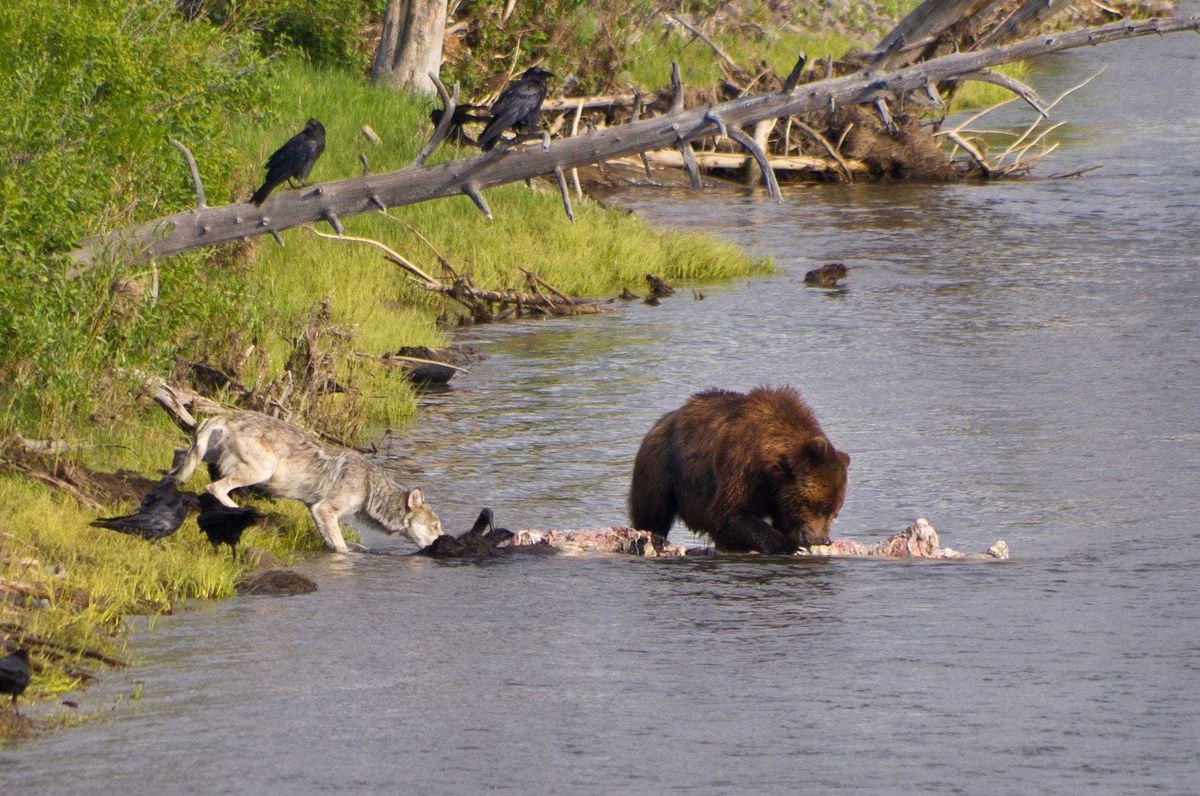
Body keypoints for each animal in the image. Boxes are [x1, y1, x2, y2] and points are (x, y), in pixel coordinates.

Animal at [170, 411, 442, 553]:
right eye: (435, 527)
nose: (443, 540)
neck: (369, 487)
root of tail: (225, 415)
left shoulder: (315, 510)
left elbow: (331, 541)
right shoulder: (325, 509)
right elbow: (341, 547)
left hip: (199, 454)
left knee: (178, 459)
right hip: (263, 469)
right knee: (214, 488)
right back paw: (243, 512)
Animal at [628, 386, 850, 554]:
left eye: (835, 512)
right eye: (821, 508)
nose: (823, 539)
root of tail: (659, 422)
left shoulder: (778, 495)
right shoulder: (740, 464)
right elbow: (728, 515)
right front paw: (789, 544)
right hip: (662, 466)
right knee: (653, 510)